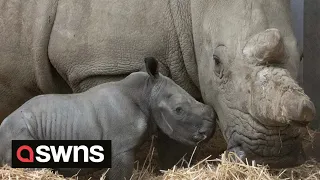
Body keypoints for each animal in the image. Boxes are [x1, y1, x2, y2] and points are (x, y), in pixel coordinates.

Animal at [0, 57, 216, 179]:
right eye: (178, 110)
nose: (210, 129)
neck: (146, 93)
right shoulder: (121, 147)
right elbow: (120, 175)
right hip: (18, 130)